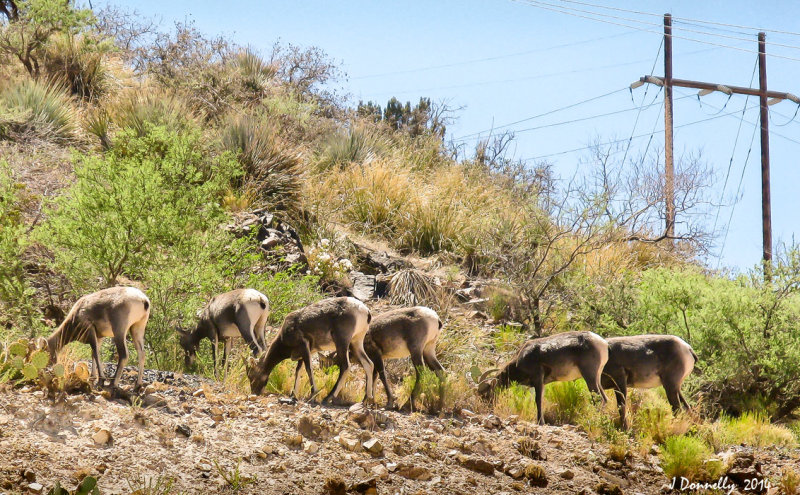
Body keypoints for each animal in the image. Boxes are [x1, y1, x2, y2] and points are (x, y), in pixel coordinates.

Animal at [247, 296, 376, 404]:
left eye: (252, 376)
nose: (255, 393)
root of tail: (364, 311)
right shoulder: (306, 351)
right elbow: (299, 371)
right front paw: (294, 395)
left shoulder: (304, 346)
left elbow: (308, 369)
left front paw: (313, 395)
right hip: (356, 342)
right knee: (368, 364)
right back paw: (366, 399)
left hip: (342, 342)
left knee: (345, 366)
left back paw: (327, 398)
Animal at [478, 332, 608, 424]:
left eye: (486, 393)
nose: (487, 410)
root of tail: (601, 343)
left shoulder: (538, 379)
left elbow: (538, 400)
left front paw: (540, 422)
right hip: (597, 378)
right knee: (605, 399)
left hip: (589, 377)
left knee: (598, 399)